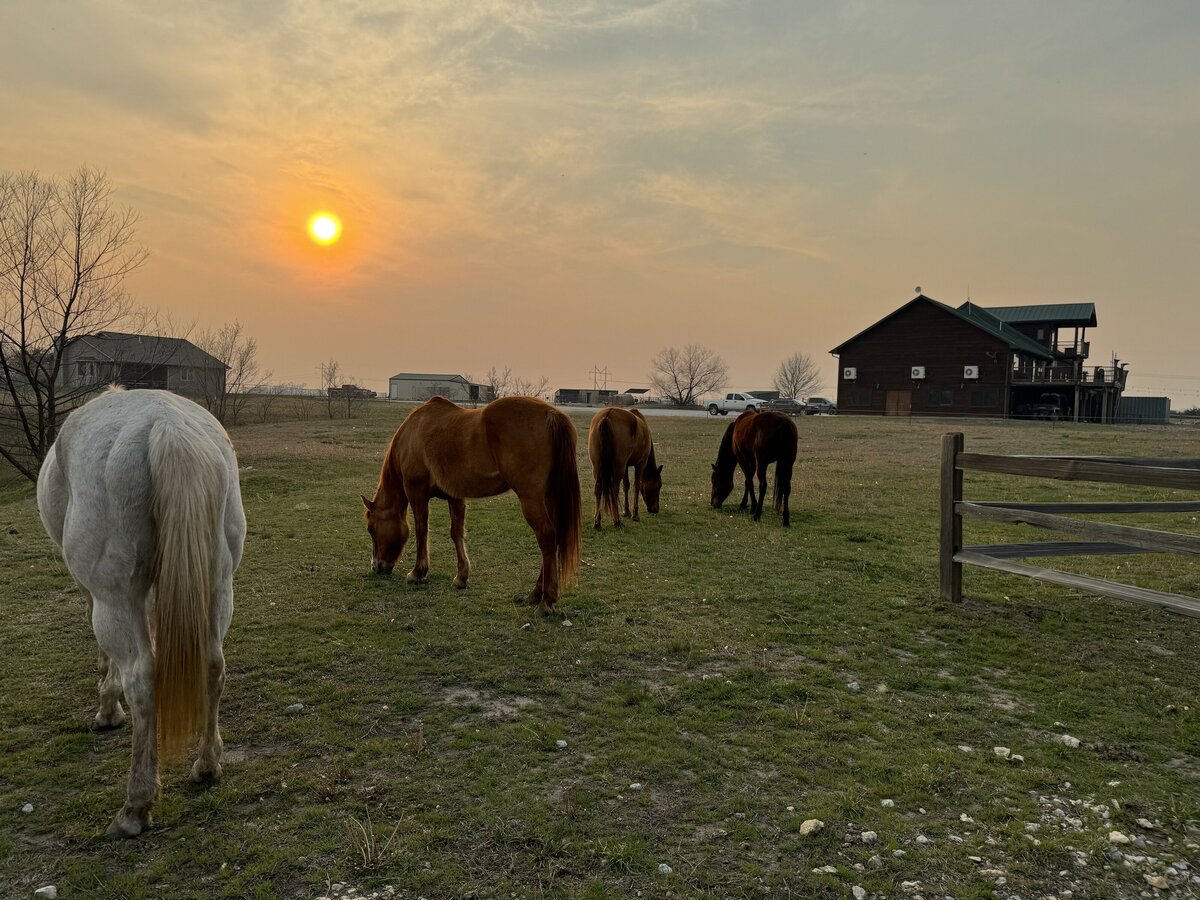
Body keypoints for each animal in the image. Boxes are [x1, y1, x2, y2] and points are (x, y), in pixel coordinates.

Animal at [36, 388, 246, 840]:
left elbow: (110, 660)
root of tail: (167, 427)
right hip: (219, 586)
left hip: (115, 599)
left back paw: (136, 804)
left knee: (143, 681)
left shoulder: (100, 595)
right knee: (213, 666)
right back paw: (207, 764)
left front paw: (107, 708)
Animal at [362, 398, 583, 619]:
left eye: (371, 529)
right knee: (554, 538)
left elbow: (421, 531)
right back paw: (536, 594)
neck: (413, 431)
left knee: (546, 537)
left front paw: (418, 572)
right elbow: (456, 533)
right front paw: (461, 577)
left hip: (531, 498)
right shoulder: (455, 496)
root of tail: (550, 414)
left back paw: (546, 601)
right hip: (550, 496)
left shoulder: (417, 492)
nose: (376, 566)